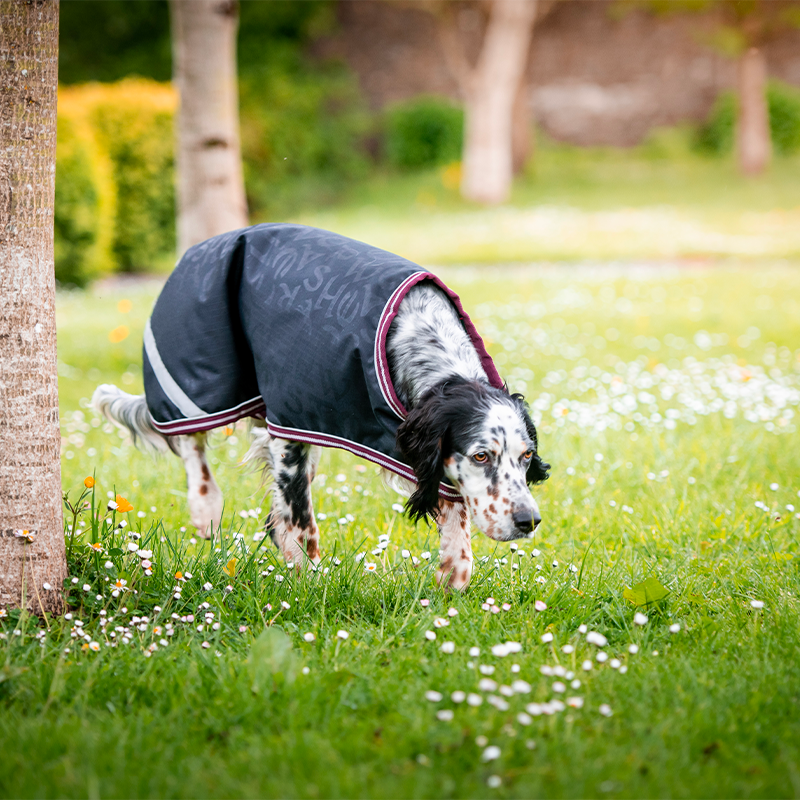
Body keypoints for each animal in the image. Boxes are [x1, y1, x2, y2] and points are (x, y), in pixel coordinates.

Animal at [94, 222, 552, 592]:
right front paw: (308, 581)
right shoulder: (290, 427)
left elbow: (457, 530)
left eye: (526, 456)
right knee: (192, 442)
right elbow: (300, 523)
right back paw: (206, 507)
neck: (419, 338)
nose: (529, 520)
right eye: (481, 456)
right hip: (201, 383)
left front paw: (452, 579)